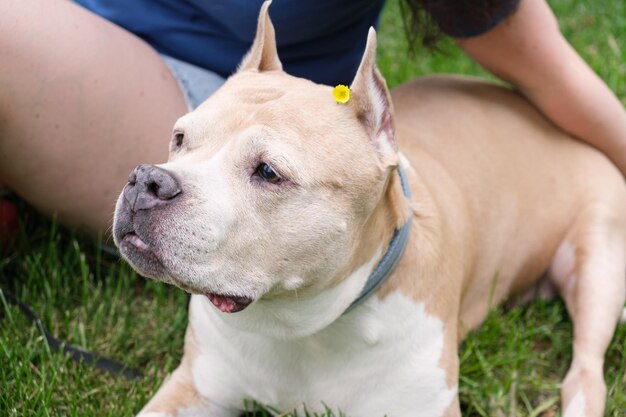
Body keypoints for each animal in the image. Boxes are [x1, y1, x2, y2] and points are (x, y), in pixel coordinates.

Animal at [112, 1, 624, 414]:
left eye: (269, 172)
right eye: (180, 137)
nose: (147, 181)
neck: (298, 325)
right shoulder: (194, 387)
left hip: (598, 262)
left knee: (586, 372)